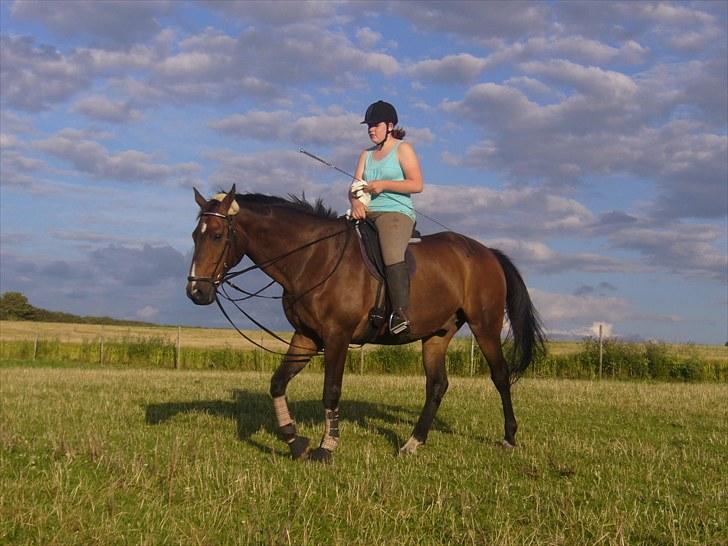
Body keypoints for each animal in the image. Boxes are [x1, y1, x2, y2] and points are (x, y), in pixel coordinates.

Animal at [185, 185, 544, 462]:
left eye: (217, 235)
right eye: (193, 236)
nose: (196, 292)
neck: (313, 258)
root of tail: (487, 253)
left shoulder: (337, 337)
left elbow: (331, 392)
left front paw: (326, 447)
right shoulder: (306, 337)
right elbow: (277, 383)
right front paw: (295, 441)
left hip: (485, 327)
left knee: (500, 376)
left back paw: (509, 438)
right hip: (437, 333)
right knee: (437, 385)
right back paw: (412, 443)